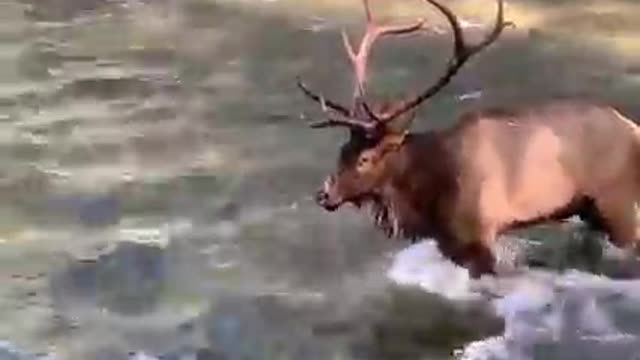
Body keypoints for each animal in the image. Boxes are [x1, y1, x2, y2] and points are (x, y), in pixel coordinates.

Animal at [296, 0, 640, 278]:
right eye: (342, 149)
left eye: (365, 158)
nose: (323, 195)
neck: (426, 195)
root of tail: (633, 128)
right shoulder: (449, 243)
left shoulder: (477, 235)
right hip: (590, 210)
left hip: (618, 203)